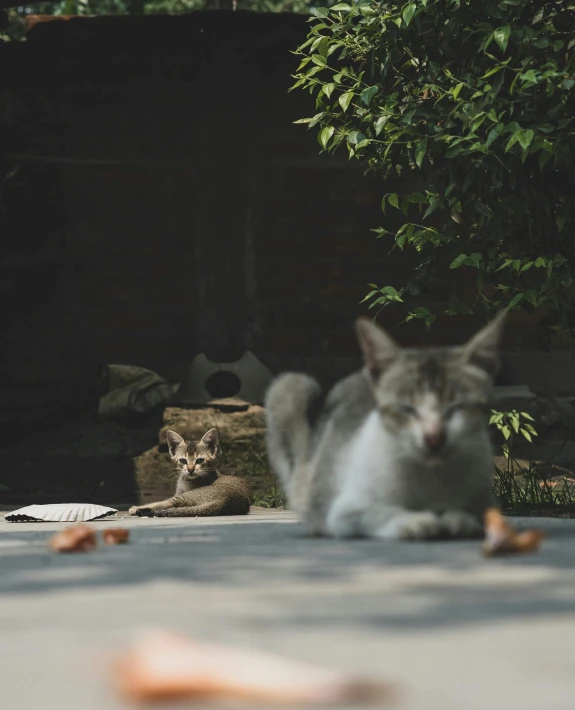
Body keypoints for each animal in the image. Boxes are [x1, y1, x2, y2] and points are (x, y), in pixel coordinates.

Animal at [264, 314, 504, 544]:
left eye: (456, 408)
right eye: (407, 409)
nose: (434, 438)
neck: (432, 477)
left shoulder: (486, 500)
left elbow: (471, 512)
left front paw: (457, 518)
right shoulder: (345, 511)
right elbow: (380, 513)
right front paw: (415, 521)